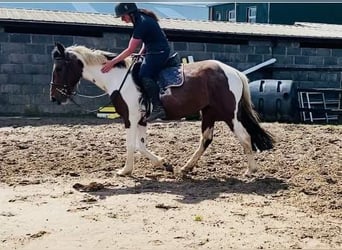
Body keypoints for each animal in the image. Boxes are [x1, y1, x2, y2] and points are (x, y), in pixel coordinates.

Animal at [49, 42, 274, 177]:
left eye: (59, 68)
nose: (54, 97)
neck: (118, 77)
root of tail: (232, 71)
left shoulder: (130, 118)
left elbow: (130, 145)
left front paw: (125, 170)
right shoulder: (140, 119)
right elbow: (140, 146)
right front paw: (164, 163)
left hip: (229, 114)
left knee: (245, 137)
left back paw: (251, 170)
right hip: (208, 112)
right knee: (206, 139)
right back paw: (187, 167)